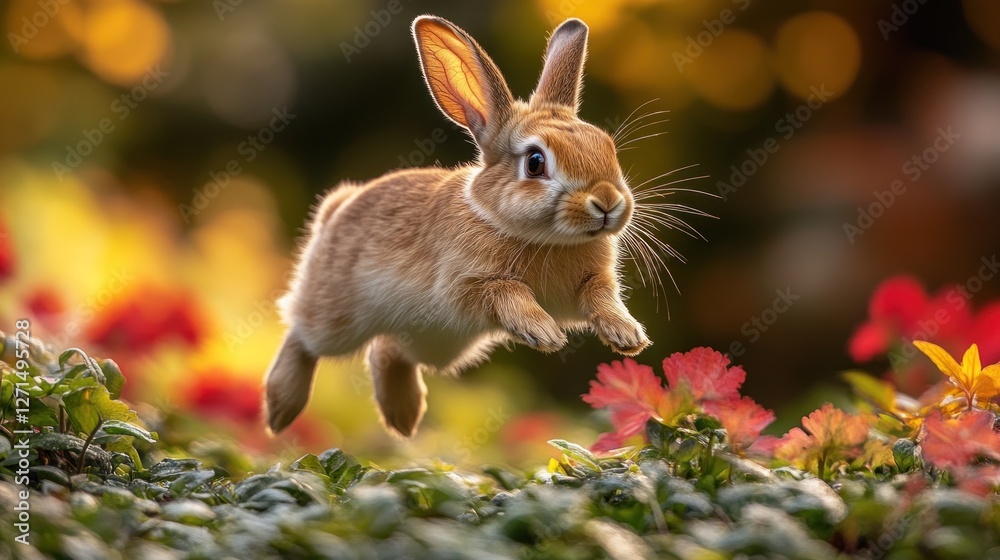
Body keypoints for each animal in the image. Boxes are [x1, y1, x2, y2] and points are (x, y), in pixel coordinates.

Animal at [264, 14, 651, 438]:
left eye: (607, 147)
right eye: (535, 162)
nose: (608, 202)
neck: (541, 237)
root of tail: (335, 210)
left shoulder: (587, 285)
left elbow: (601, 298)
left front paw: (627, 335)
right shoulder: (465, 286)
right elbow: (506, 292)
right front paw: (544, 333)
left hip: (433, 341)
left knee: (387, 350)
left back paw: (404, 418)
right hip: (339, 318)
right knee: (302, 334)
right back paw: (280, 409)